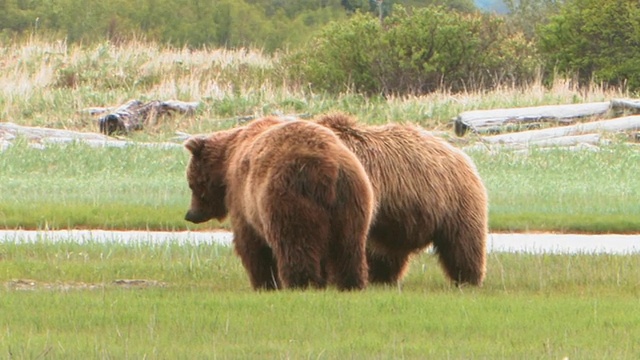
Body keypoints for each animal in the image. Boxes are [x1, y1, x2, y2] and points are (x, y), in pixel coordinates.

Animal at [182, 116, 376, 292]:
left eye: (191, 184)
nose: (191, 214)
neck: (226, 162)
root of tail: (329, 167)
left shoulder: (241, 197)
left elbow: (251, 244)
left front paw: (264, 284)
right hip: (352, 198)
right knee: (349, 246)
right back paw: (351, 283)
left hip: (288, 196)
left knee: (295, 243)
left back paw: (301, 283)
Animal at [312, 113, 488, 286]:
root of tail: (463, 156)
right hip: (400, 216)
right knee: (389, 250)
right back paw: (382, 277)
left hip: (454, 201)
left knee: (462, 244)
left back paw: (467, 278)